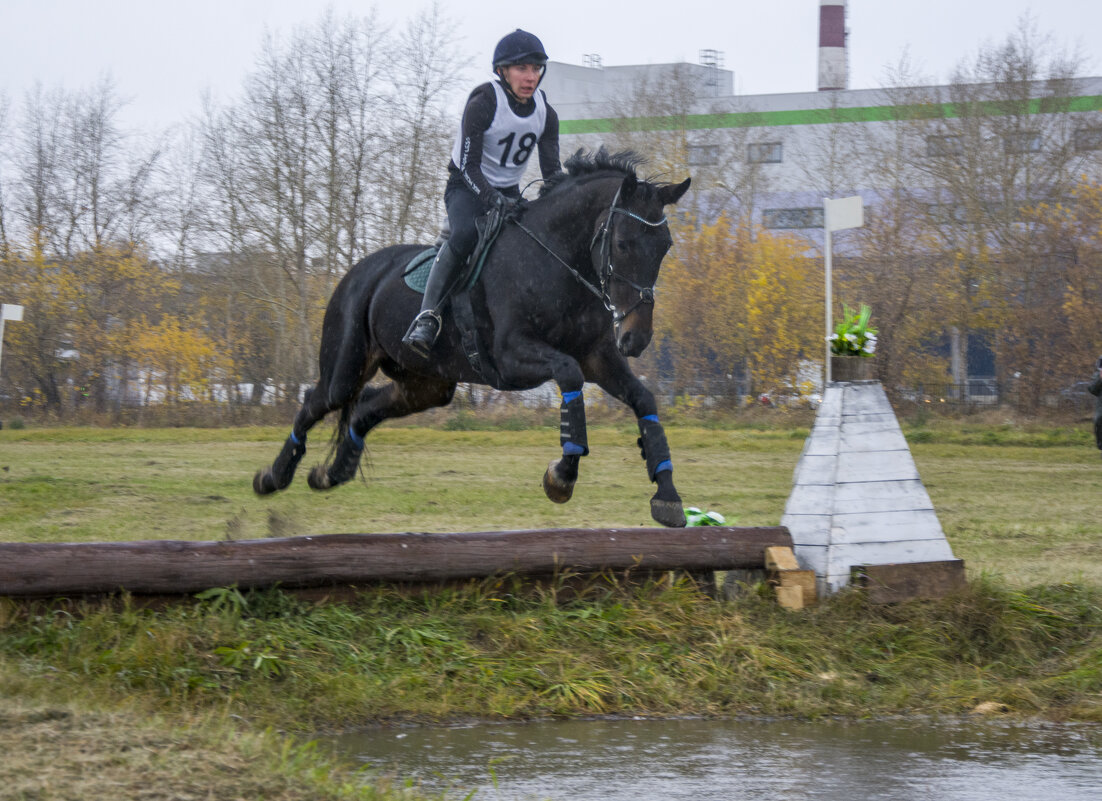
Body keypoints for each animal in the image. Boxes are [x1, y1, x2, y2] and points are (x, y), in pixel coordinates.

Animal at [253, 148, 692, 526]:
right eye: (623, 244)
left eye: (665, 247)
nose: (636, 338)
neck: (555, 259)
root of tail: (357, 271)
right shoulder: (512, 358)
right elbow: (569, 377)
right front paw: (561, 475)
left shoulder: (598, 356)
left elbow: (644, 400)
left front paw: (667, 495)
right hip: (346, 367)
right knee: (316, 402)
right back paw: (272, 477)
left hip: (427, 384)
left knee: (364, 409)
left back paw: (332, 473)